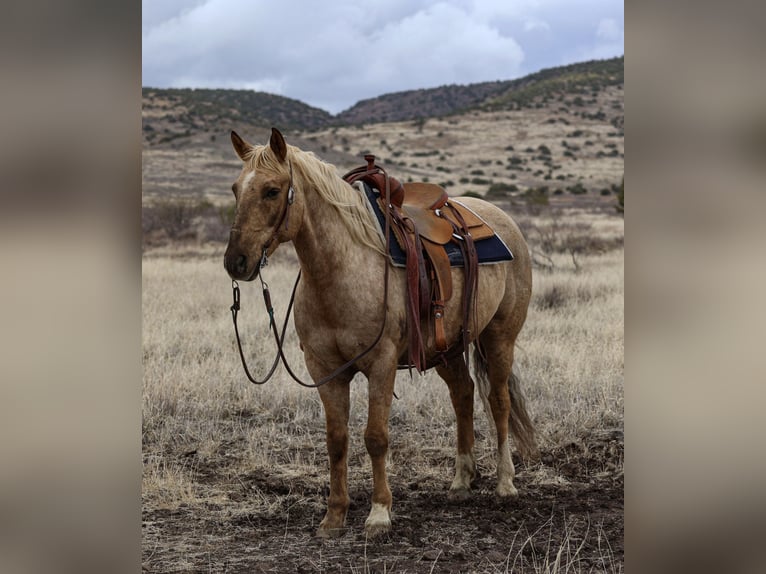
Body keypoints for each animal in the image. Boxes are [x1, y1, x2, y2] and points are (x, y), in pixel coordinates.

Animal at [225, 127, 536, 540]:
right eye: (235, 188)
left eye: (272, 190)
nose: (236, 261)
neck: (341, 270)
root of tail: (504, 221)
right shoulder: (325, 369)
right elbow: (336, 440)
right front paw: (334, 516)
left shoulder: (382, 363)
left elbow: (376, 437)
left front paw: (379, 513)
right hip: (447, 347)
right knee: (463, 394)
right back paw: (460, 480)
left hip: (499, 338)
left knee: (498, 401)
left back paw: (505, 482)